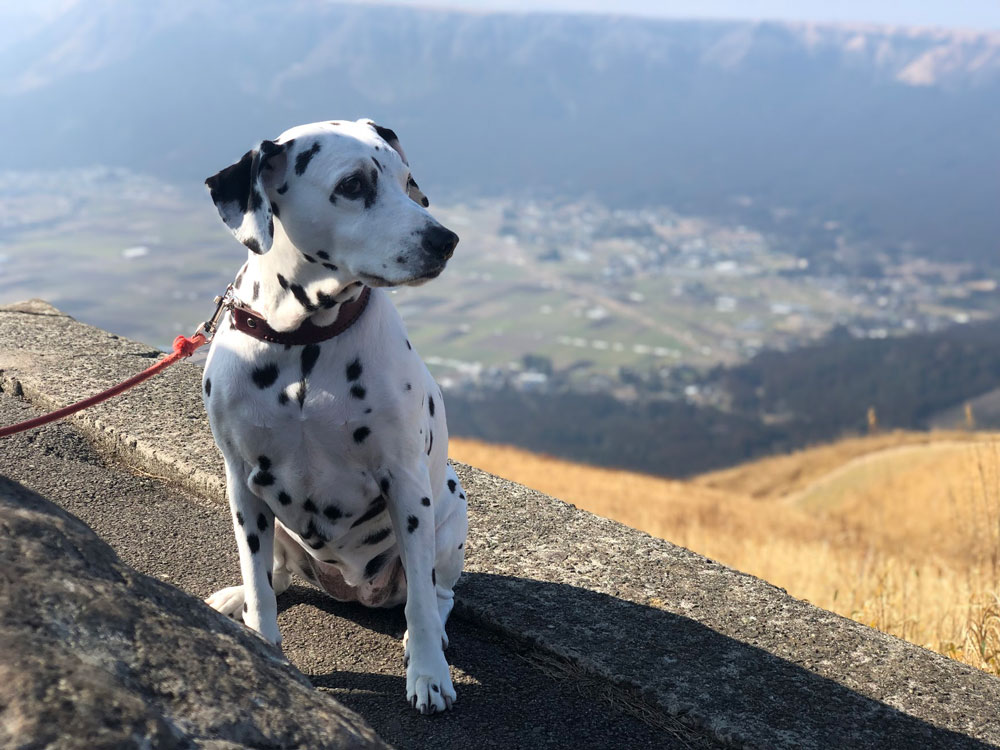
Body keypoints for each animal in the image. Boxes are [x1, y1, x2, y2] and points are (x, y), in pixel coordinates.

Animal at [204, 119, 472, 716]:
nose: (444, 240)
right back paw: (237, 600)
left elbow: (422, 603)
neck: (302, 339)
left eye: (408, 181)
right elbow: (260, 585)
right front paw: (266, 651)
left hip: (448, 511)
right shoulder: (242, 484)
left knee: (437, 593)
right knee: (275, 576)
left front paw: (427, 674)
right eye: (352, 185)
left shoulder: (405, 483)